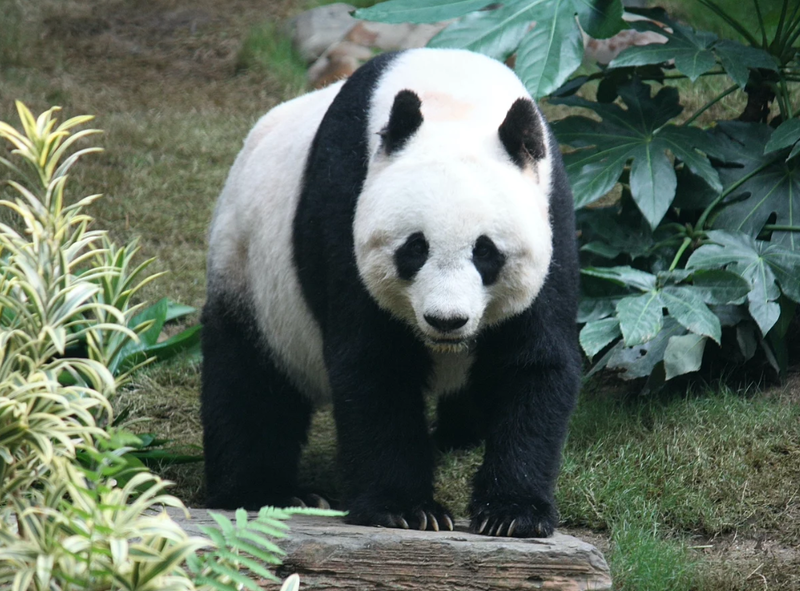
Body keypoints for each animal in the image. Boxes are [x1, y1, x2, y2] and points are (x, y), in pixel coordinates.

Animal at [201, 48, 581, 538]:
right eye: (415, 248)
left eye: (486, 252)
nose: (446, 320)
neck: (454, 98)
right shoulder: (344, 203)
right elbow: (376, 365)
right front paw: (406, 510)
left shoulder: (553, 217)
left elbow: (532, 362)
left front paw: (512, 513)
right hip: (250, 270)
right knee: (250, 382)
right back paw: (266, 492)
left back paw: (458, 436)